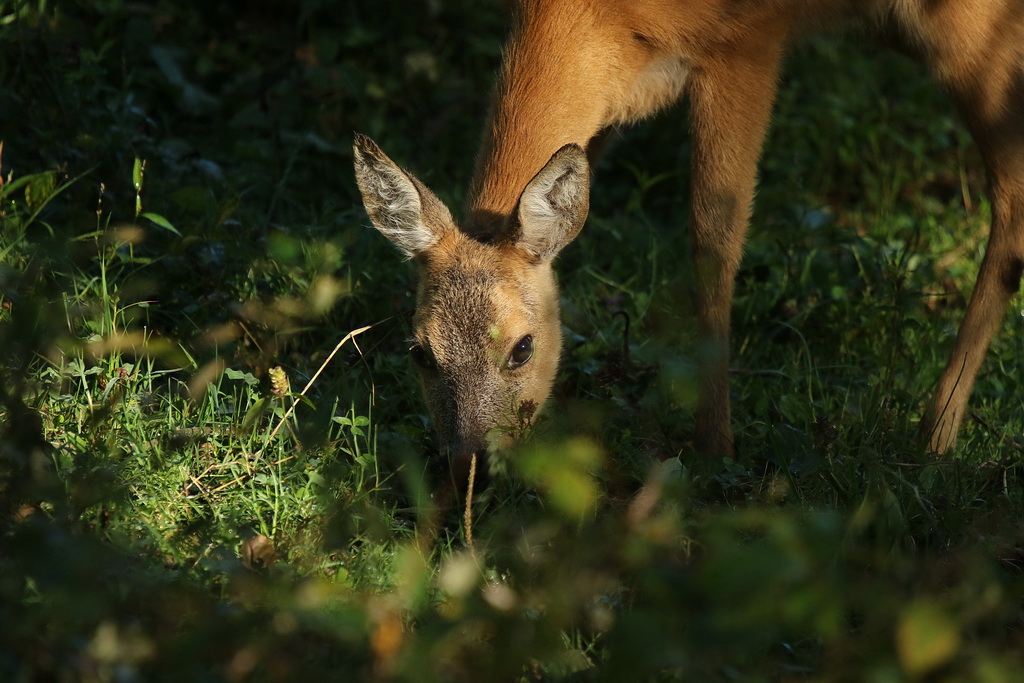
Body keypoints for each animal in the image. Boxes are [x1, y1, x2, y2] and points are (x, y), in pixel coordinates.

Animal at [354, 0, 1024, 481]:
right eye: (418, 351)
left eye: (522, 348)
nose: (467, 468)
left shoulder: (747, 40)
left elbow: (715, 238)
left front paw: (715, 446)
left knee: (1012, 200)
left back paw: (935, 438)